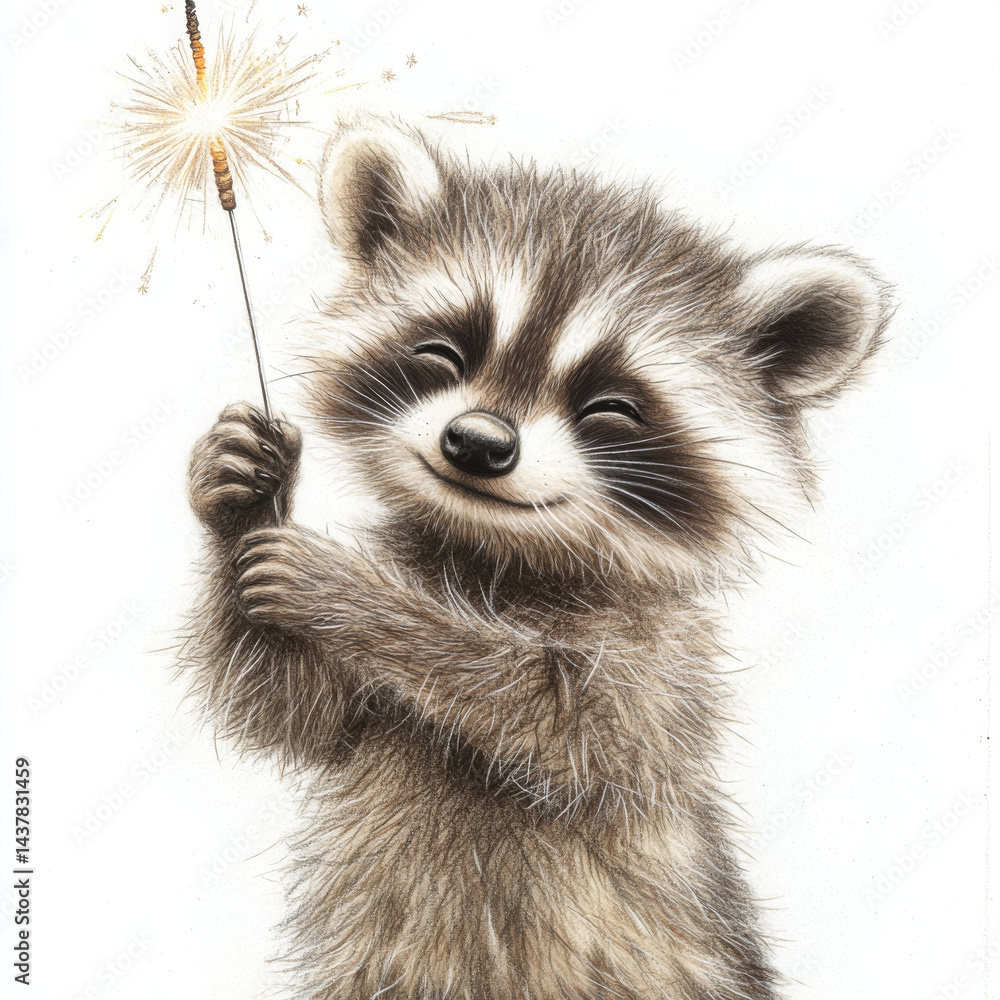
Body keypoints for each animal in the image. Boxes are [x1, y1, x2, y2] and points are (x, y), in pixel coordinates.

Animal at [186, 116, 891, 1000]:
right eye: (443, 352)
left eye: (610, 406)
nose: (478, 443)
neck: (499, 555)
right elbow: (289, 709)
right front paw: (239, 505)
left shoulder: (666, 667)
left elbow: (569, 724)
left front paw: (362, 600)